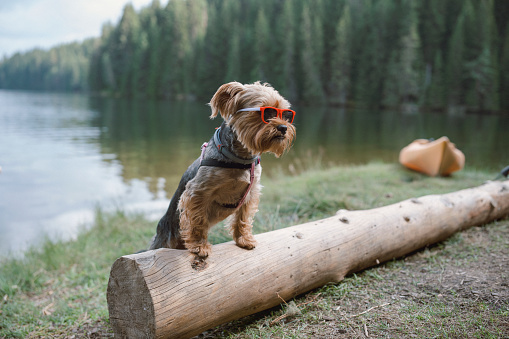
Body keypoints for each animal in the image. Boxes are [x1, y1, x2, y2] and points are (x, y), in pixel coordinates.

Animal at [149, 81, 296, 258]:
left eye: (286, 115)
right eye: (266, 112)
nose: (283, 127)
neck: (241, 158)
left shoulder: (251, 193)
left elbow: (243, 217)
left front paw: (244, 239)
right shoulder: (198, 192)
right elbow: (197, 220)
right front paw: (199, 246)